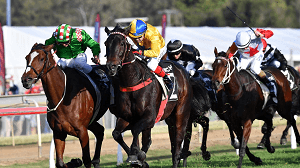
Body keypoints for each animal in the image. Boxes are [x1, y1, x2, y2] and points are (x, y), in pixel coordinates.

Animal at [103, 24, 192, 167]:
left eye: (122, 43)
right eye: (106, 43)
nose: (111, 67)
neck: (133, 81)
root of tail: (182, 70)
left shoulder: (149, 116)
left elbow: (135, 130)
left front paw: (135, 154)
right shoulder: (126, 117)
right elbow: (116, 134)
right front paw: (138, 157)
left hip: (181, 113)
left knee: (178, 144)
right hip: (169, 118)